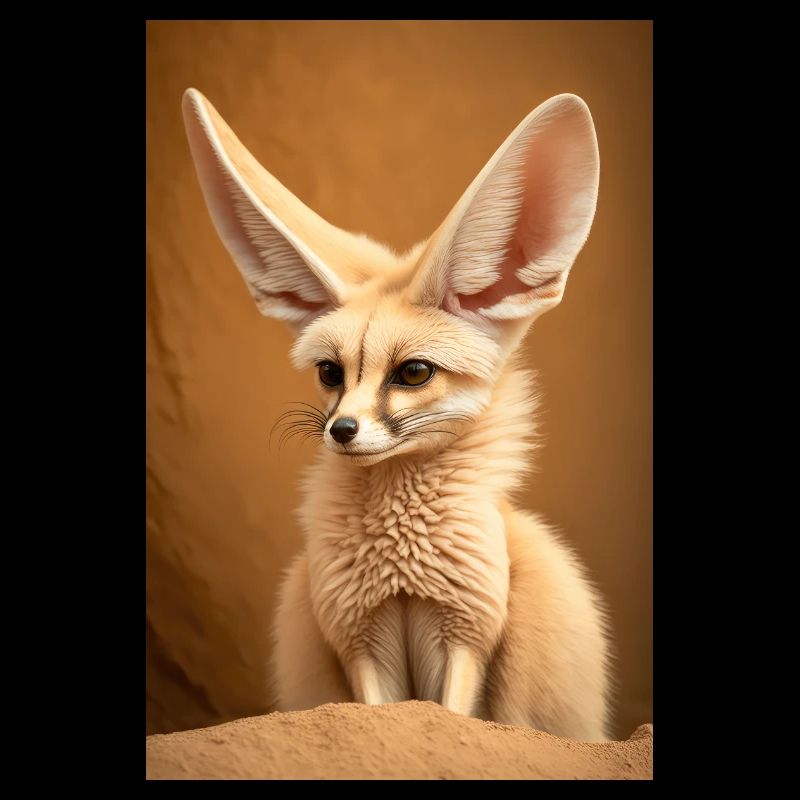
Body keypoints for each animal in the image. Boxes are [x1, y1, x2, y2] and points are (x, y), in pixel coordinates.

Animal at [182, 88, 612, 741]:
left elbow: (452, 719)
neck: (400, 560)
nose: (342, 431)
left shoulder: (467, 632)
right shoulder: (358, 634)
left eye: (412, 373)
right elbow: (380, 714)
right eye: (330, 373)